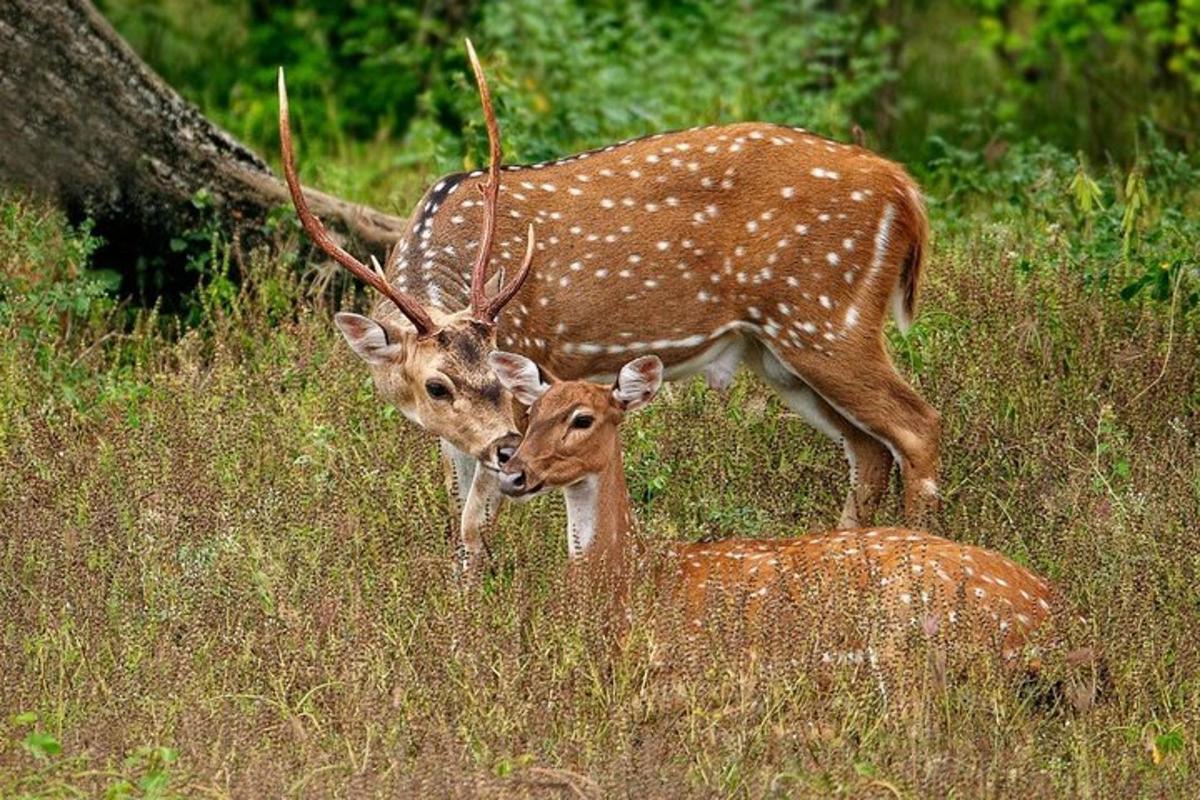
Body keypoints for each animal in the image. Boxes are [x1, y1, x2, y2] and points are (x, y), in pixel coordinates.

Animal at [278, 42, 936, 568]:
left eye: (503, 369)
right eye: (436, 386)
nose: (508, 448)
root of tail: (905, 189)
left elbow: (472, 523)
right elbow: (460, 518)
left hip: (826, 313)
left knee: (916, 427)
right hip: (777, 351)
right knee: (869, 449)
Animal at [487, 350, 1099, 700]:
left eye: (582, 419)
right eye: (530, 413)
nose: (513, 472)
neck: (627, 574)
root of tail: (1068, 626)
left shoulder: (685, 657)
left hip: (911, 634)